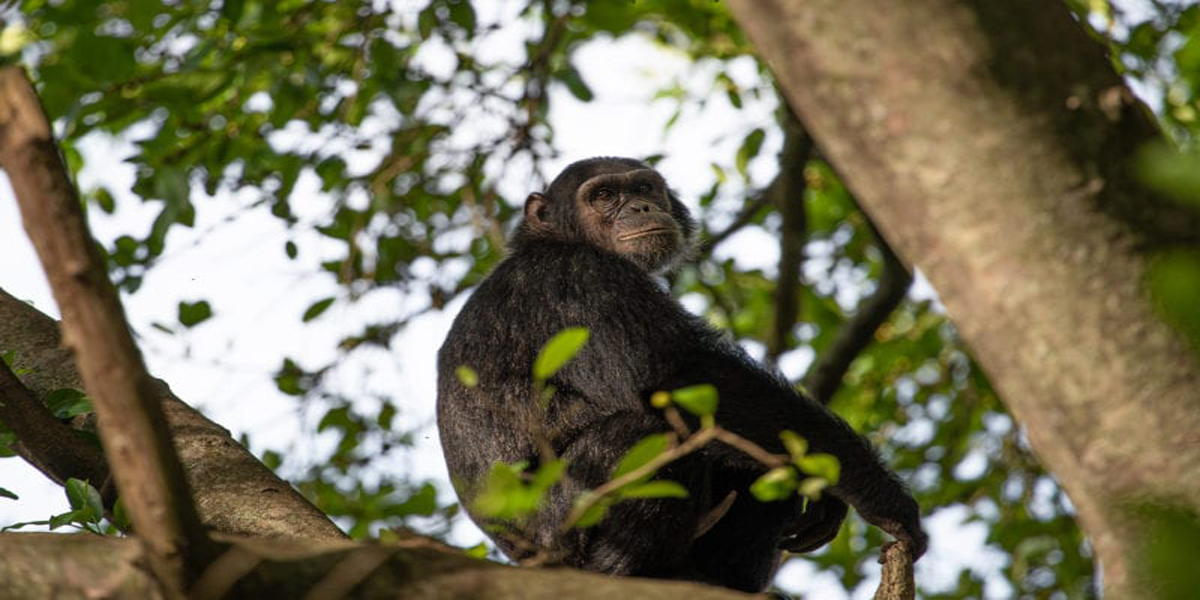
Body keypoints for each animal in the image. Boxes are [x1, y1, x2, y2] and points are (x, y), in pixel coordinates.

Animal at [436, 157, 921, 592]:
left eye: (644, 188)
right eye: (603, 196)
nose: (641, 207)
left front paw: (826, 493)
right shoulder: (580, 280)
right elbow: (675, 377)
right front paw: (877, 492)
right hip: (566, 532)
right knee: (645, 433)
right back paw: (626, 572)